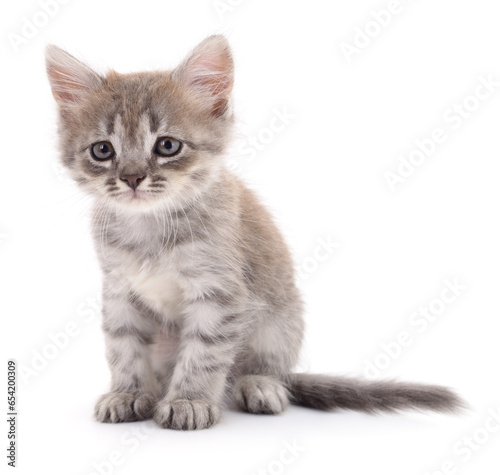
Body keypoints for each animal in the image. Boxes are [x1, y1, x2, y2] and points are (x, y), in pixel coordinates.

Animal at [45, 37, 462, 432]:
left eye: (167, 145)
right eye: (103, 150)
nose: (131, 179)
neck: (150, 228)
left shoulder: (220, 293)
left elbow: (204, 353)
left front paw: (190, 401)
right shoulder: (119, 292)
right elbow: (124, 347)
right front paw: (128, 393)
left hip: (281, 319)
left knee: (263, 369)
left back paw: (260, 385)